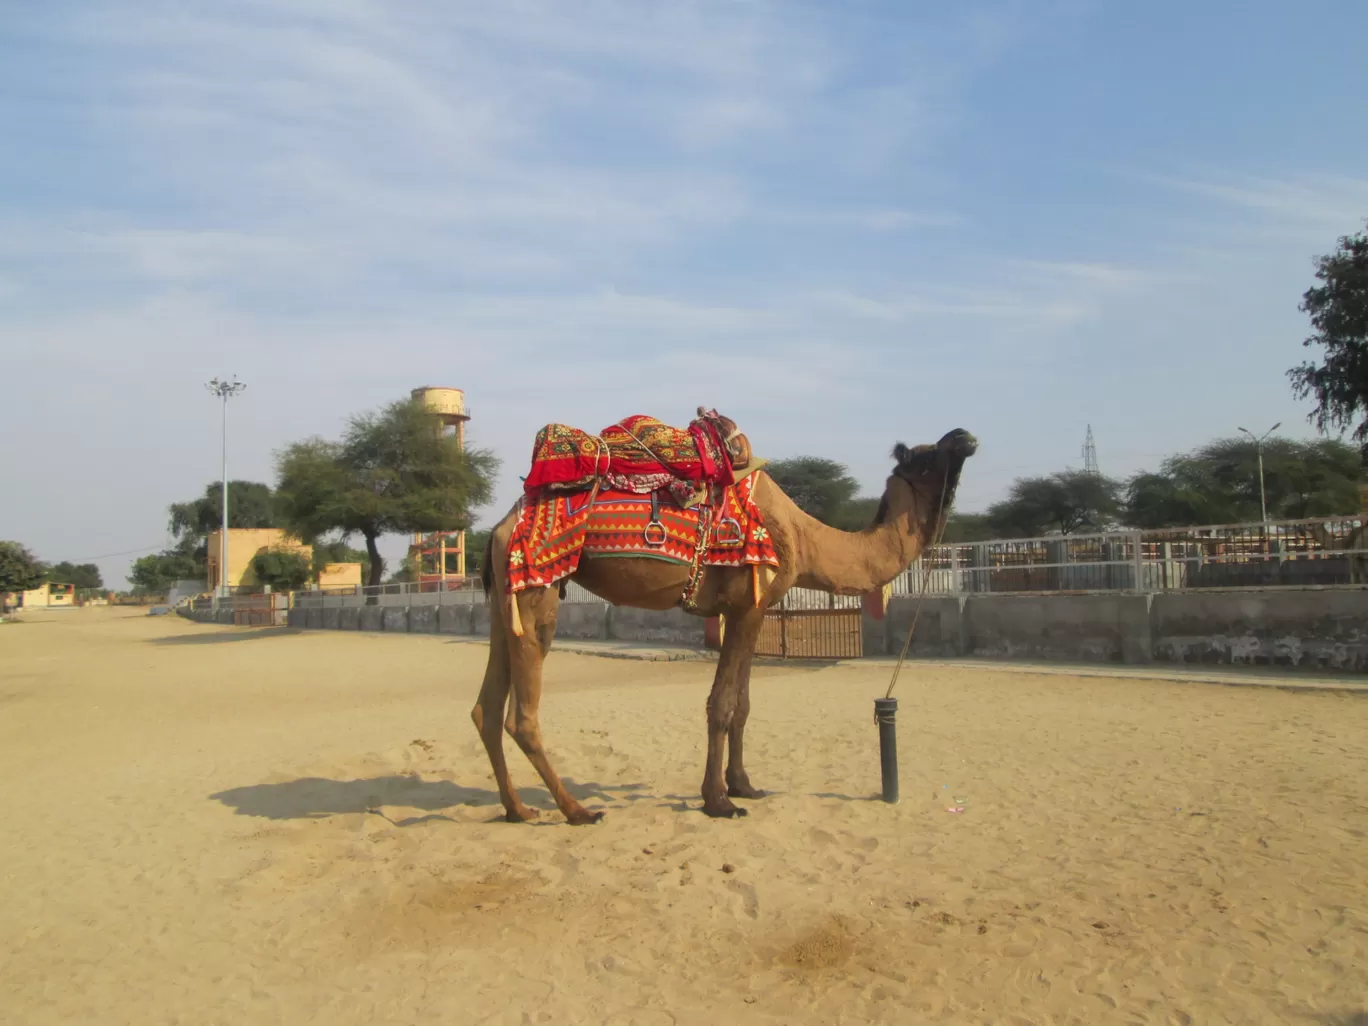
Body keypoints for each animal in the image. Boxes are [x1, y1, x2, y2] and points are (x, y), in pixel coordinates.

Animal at [470, 429, 974, 826]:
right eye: (925, 459)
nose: (965, 436)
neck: (803, 539)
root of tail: (502, 524)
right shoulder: (747, 604)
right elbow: (722, 704)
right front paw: (718, 801)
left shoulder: (746, 609)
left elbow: (743, 704)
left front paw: (744, 785)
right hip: (539, 589)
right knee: (521, 715)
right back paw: (576, 811)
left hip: (503, 601)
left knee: (486, 708)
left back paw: (518, 809)